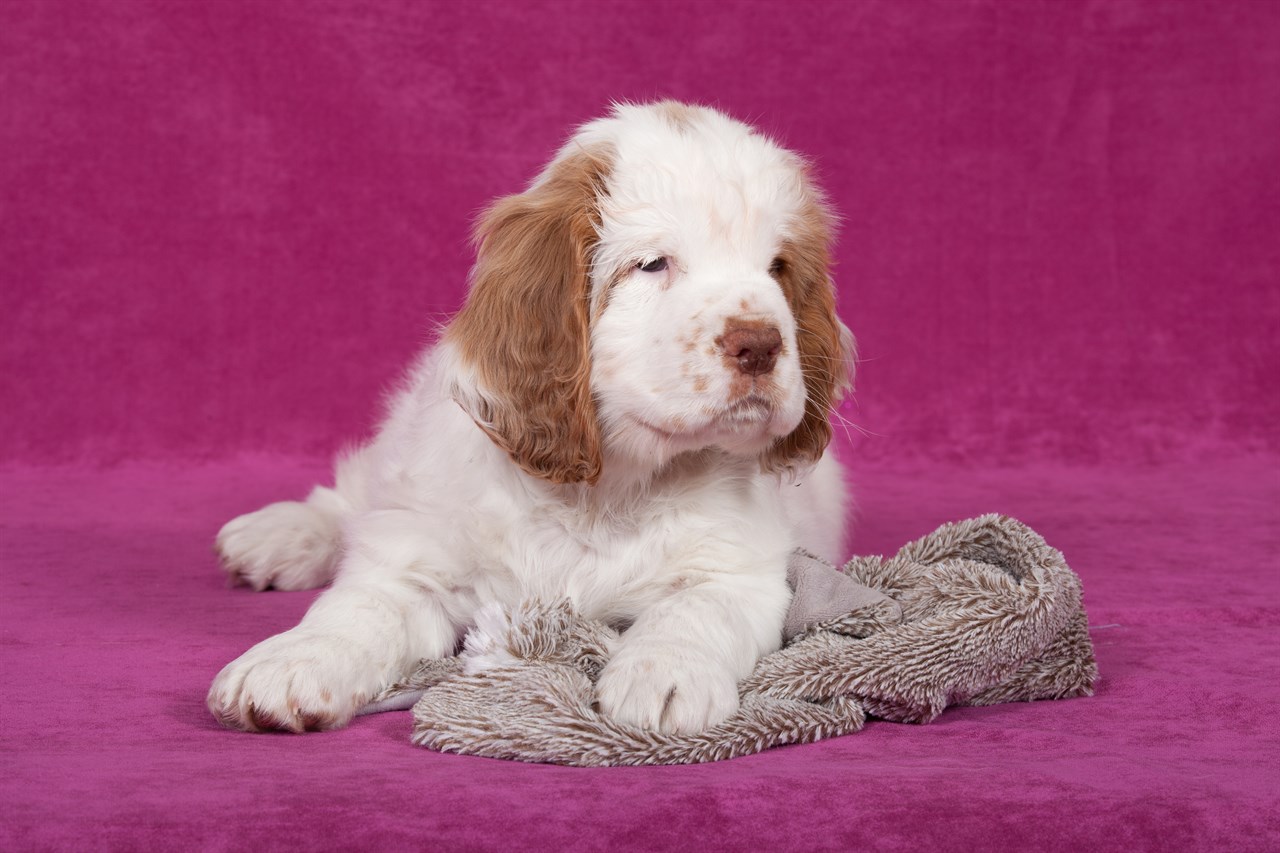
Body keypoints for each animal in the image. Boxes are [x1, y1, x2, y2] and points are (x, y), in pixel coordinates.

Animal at [207, 101, 849, 732]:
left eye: (777, 268)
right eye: (652, 264)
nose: (761, 345)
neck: (604, 492)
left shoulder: (742, 569)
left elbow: (696, 609)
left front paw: (664, 673)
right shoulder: (417, 559)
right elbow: (362, 607)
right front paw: (293, 661)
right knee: (353, 498)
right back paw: (279, 536)